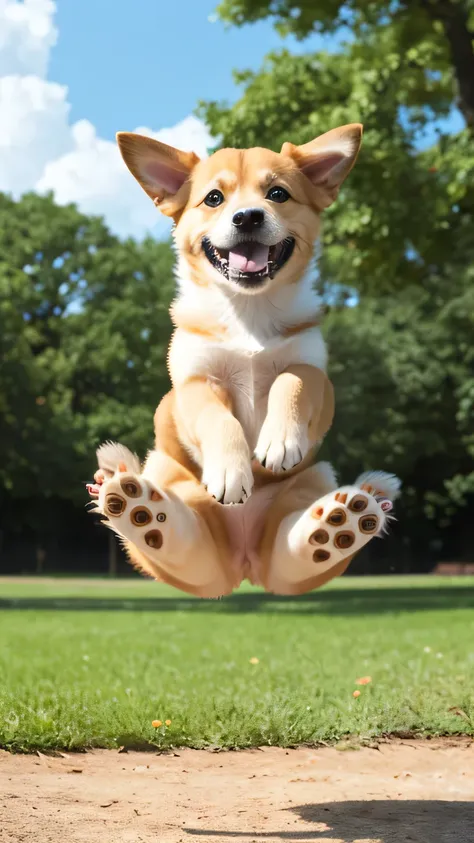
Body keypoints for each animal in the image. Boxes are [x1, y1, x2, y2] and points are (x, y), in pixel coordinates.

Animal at [90, 127, 400, 600]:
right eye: (214, 198)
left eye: (278, 194)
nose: (248, 217)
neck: (248, 312)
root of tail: (242, 566)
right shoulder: (195, 381)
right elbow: (218, 419)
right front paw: (231, 471)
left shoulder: (316, 371)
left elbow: (291, 381)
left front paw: (279, 441)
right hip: (175, 487)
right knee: (180, 536)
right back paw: (135, 505)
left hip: (313, 482)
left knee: (294, 547)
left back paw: (339, 523)